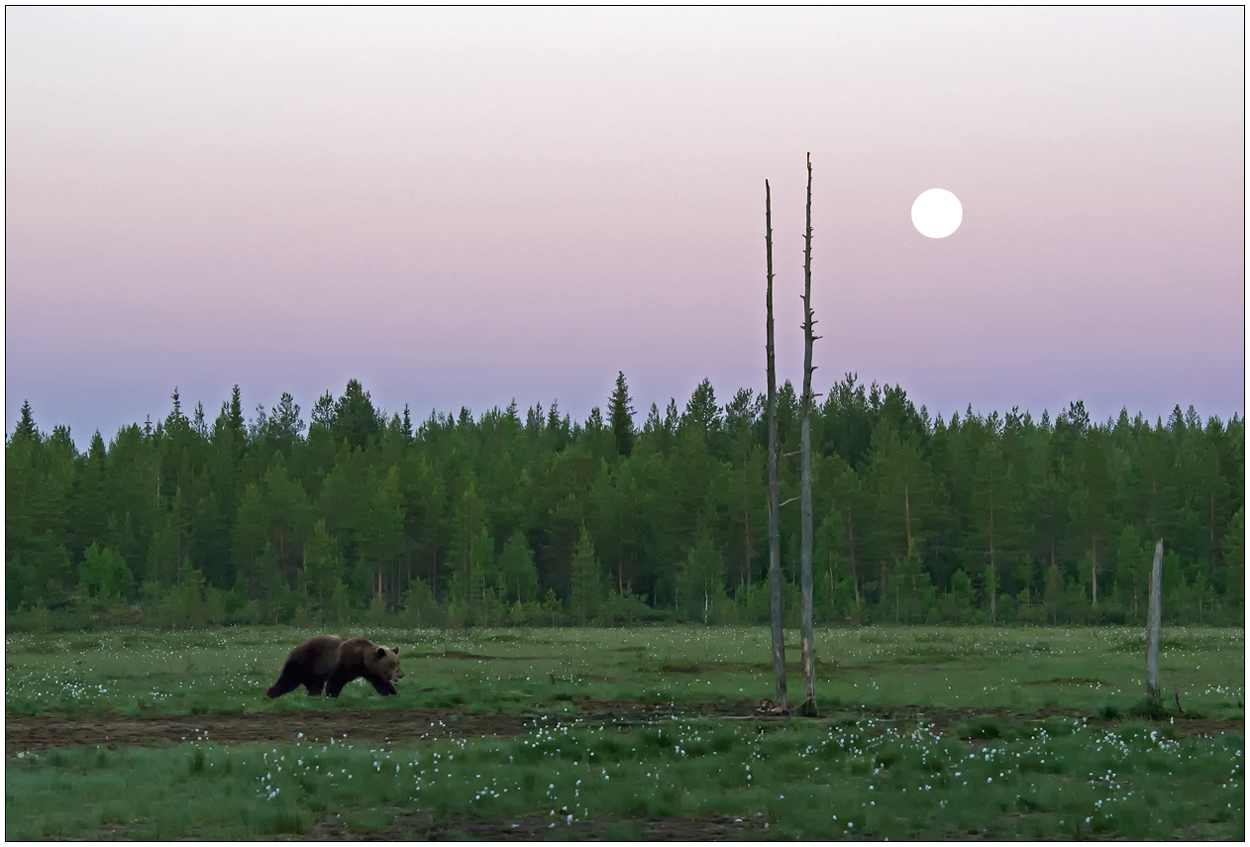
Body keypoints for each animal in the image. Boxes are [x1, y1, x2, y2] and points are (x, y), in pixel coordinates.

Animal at [265, 639, 405, 699]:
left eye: (398, 663)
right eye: (393, 664)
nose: (401, 674)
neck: (362, 660)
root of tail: (293, 650)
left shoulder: (371, 672)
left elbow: (381, 683)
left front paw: (394, 693)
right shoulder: (342, 664)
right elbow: (335, 682)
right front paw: (331, 696)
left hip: (313, 673)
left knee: (314, 686)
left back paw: (314, 696)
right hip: (301, 664)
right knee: (287, 680)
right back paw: (269, 695)